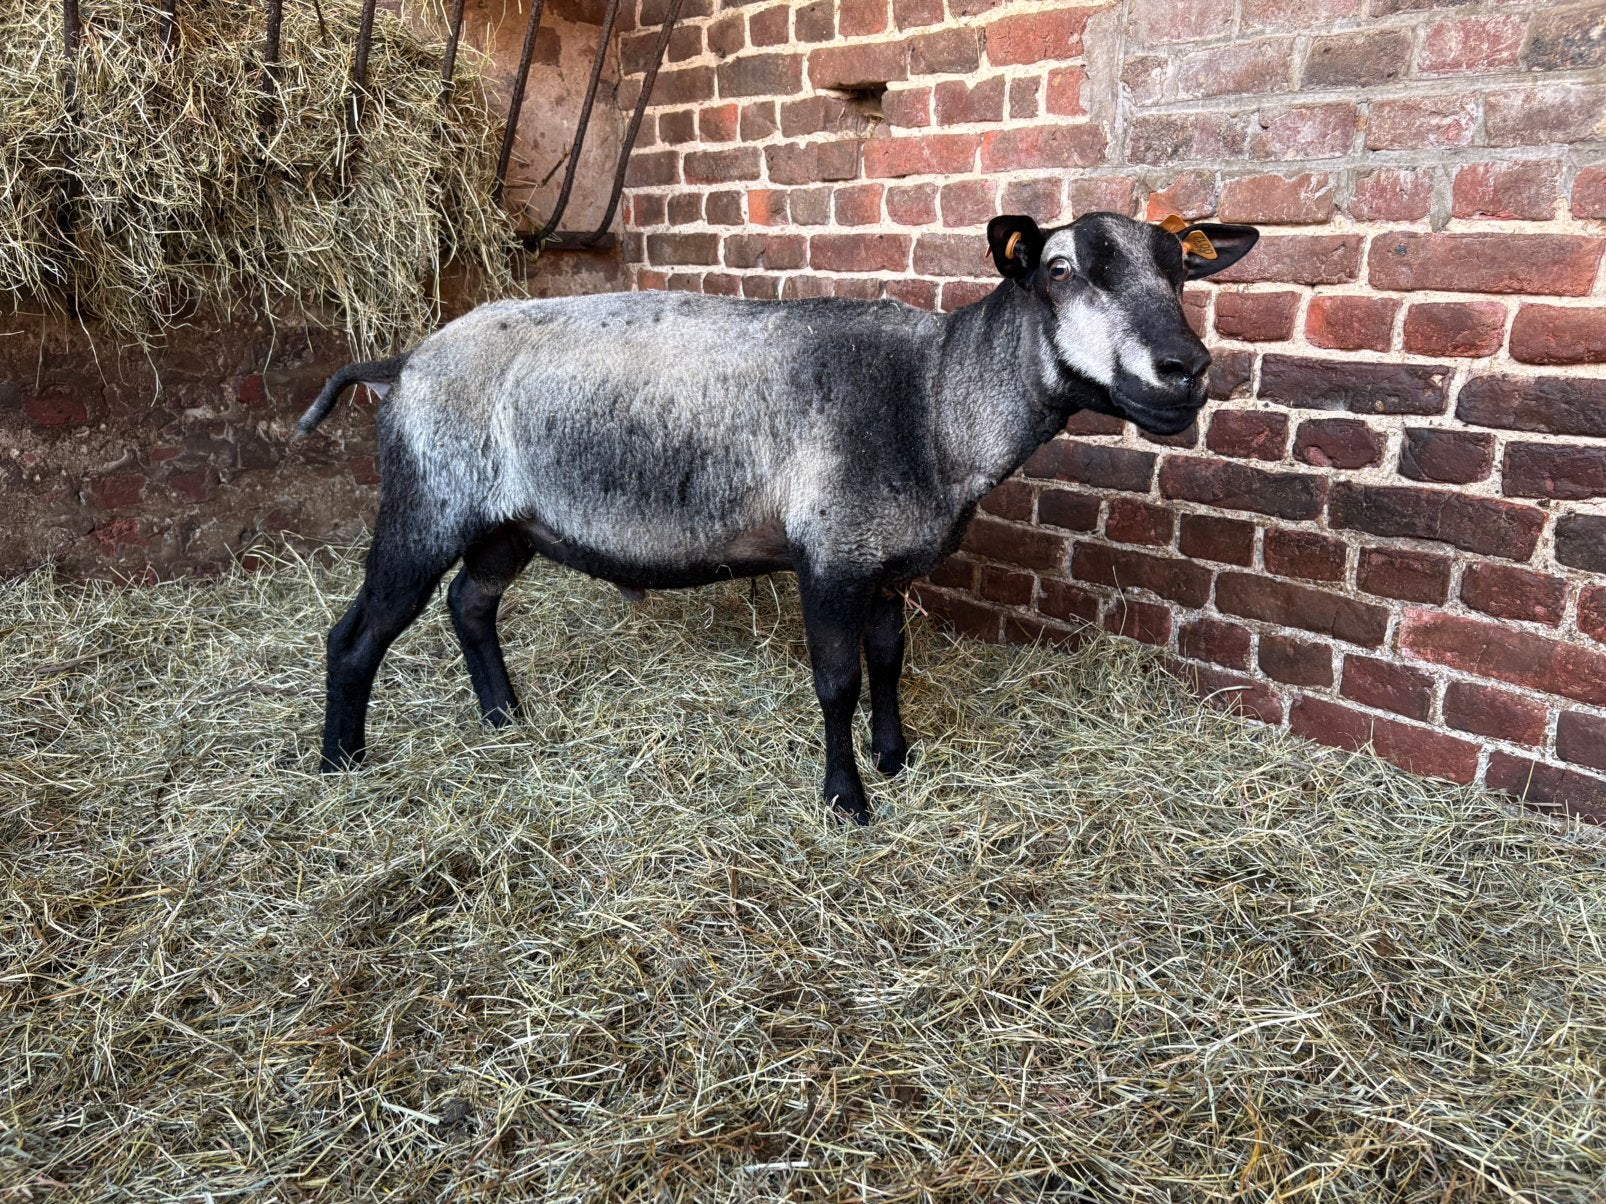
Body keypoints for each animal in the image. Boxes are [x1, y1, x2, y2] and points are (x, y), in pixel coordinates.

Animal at [298, 210, 1259, 823]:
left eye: (1180, 268)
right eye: (1059, 271)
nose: (1184, 371)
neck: (934, 400)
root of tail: (404, 361)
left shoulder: (885, 562)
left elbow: (889, 661)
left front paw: (895, 757)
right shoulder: (830, 554)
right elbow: (836, 680)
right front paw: (847, 801)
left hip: (511, 522)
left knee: (472, 605)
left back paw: (505, 719)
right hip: (429, 499)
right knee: (358, 633)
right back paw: (341, 762)